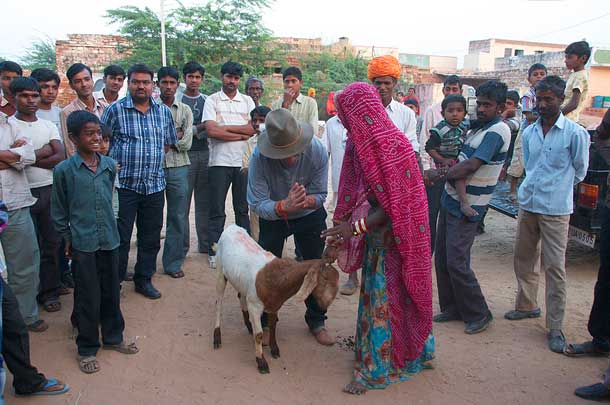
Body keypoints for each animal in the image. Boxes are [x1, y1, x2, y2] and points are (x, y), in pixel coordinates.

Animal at [213, 224, 338, 372]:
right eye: (324, 278)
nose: (326, 304)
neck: (277, 278)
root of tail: (232, 227)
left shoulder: (274, 305)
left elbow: (273, 327)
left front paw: (274, 349)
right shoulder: (254, 306)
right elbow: (259, 335)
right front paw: (261, 362)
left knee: (240, 296)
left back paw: (248, 325)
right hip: (220, 272)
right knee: (218, 303)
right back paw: (217, 337)